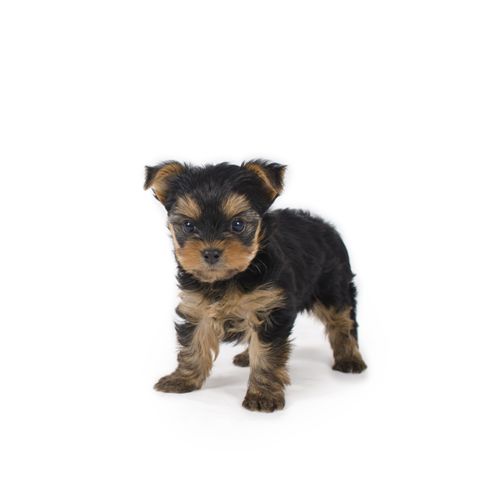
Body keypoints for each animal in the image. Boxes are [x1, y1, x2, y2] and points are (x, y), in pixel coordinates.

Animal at [145, 160, 367, 412]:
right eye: (189, 225)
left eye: (238, 224)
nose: (210, 253)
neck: (230, 278)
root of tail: (323, 224)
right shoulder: (197, 307)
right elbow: (193, 345)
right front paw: (182, 380)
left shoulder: (270, 309)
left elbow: (267, 355)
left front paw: (263, 395)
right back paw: (245, 356)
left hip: (333, 287)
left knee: (343, 322)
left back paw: (349, 358)